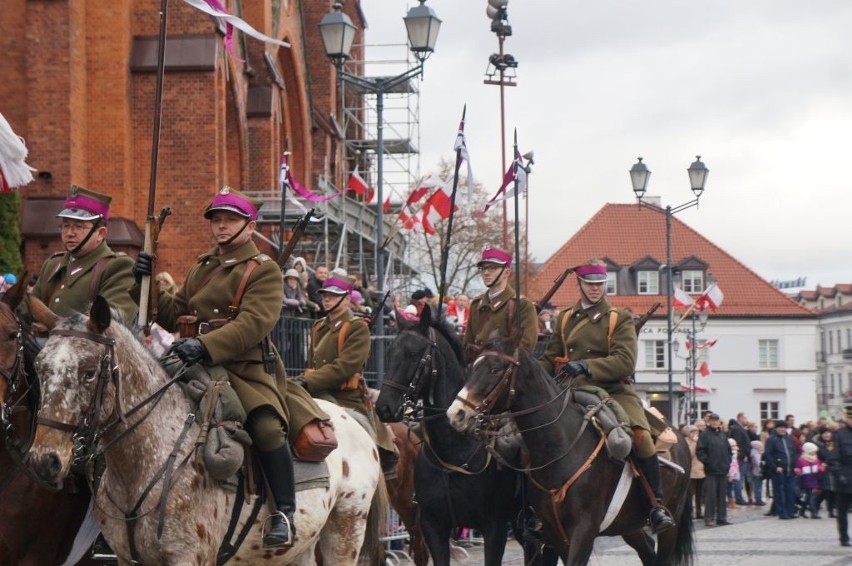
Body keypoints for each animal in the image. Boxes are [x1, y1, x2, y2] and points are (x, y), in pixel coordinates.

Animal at [25, 298, 386, 566]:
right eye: (39, 367)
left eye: (88, 372)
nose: (44, 461)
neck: (143, 464)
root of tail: (349, 417)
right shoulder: (128, 559)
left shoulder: (190, 557)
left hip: (344, 533)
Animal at [378, 310, 548, 566]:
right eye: (388, 353)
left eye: (413, 353)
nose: (384, 407)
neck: (455, 451)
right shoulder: (433, 526)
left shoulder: (494, 528)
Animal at [446, 340, 692, 566]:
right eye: (471, 368)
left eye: (495, 369)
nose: (456, 413)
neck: (560, 446)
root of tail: (679, 436)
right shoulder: (554, 533)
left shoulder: (583, 530)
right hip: (628, 523)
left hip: (671, 523)